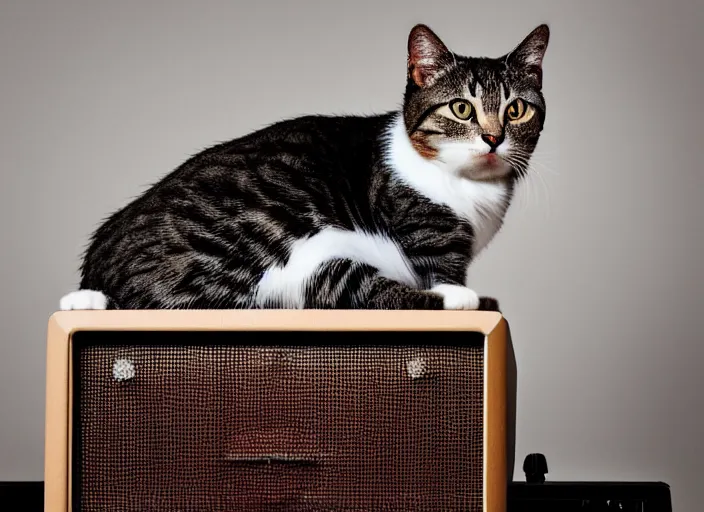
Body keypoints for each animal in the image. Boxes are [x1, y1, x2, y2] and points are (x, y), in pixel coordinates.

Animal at [59, 22, 552, 312]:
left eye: (516, 110)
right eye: (461, 108)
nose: (493, 138)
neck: (471, 191)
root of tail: (95, 271)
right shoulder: (422, 237)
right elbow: (437, 269)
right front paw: (458, 294)